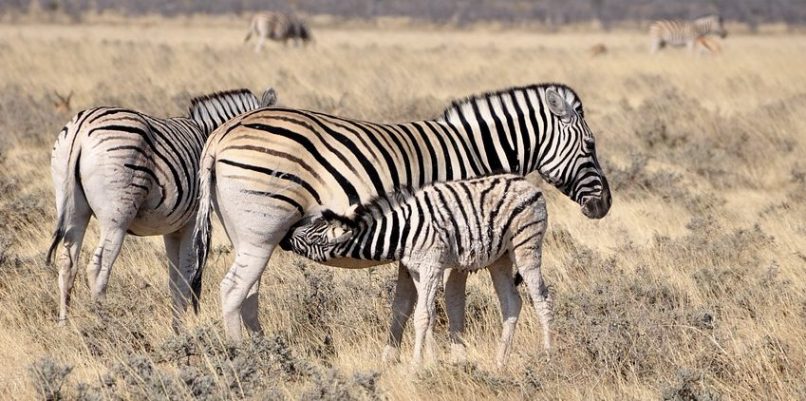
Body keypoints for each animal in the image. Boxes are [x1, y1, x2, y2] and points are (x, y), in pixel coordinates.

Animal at [49, 86, 280, 326]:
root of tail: (81, 128)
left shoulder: (172, 229)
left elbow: (174, 280)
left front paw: (177, 326)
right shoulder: (192, 222)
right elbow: (187, 275)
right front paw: (184, 328)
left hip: (73, 207)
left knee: (67, 263)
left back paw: (65, 325)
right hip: (116, 216)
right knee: (98, 268)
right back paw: (104, 324)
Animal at [193, 82, 616, 344]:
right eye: (591, 145)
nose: (605, 205)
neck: (473, 153)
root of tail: (222, 133)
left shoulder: (416, 239)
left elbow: (403, 305)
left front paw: (394, 358)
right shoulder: (458, 235)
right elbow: (453, 303)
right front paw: (455, 355)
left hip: (247, 235)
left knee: (248, 294)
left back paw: (266, 350)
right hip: (262, 229)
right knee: (232, 290)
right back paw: (244, 357)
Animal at [280, 173, 552, 368]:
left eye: (314, 233)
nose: (285, 235)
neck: (403, 230)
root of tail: (528, 184)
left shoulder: (432, 265)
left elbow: (421, 316)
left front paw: (414, 367)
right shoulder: (417, 269)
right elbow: (427, 313)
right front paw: (429, 363)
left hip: (526, 245)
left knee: (542, 299)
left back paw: (547, 356)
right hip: (500, 257)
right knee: (511, 303)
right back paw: (499, 363)